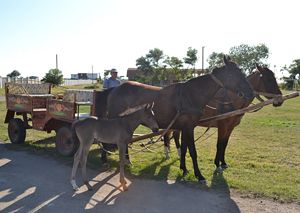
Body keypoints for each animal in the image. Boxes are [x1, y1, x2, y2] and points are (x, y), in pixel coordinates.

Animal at [97, 56, 254, 183]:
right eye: (234, 73)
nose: (251, 93)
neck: (191, 95)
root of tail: (115, 90)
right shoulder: (189, 127)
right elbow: (193, 151)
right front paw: (199, 176)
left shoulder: (185, 127)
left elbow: (184, 148)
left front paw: (184, 169)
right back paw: (105, 160)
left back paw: (127, 161)